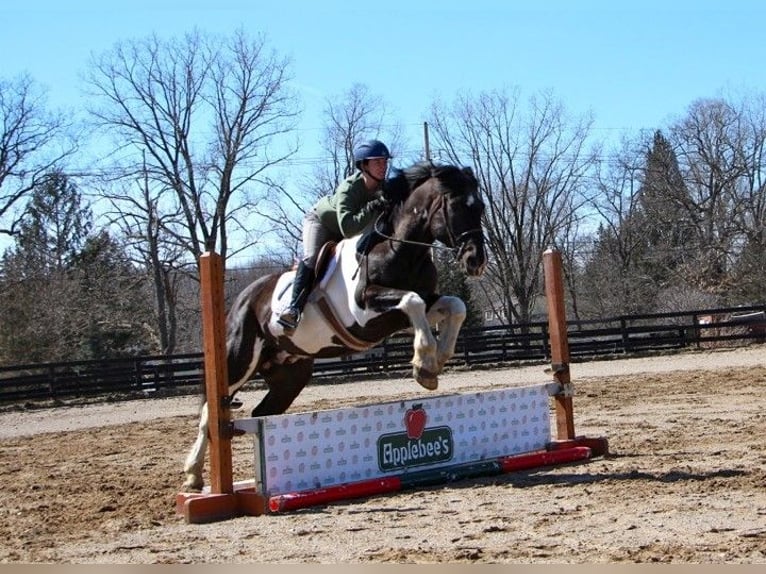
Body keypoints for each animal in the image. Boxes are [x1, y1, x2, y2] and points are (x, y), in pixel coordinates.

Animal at [183, 161, 488, 490]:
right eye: (457, 206)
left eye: (481, 207)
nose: (476, 261)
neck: (399, 249)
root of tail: (242, 298)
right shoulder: (366, 310)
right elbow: (412, 301)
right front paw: (423, 364)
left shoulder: (414, 309)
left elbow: (455, 307)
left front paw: (437, 361)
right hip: (238, 360)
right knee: (210, 411)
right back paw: (193, 475)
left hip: (291, 376)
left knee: (261, 412)